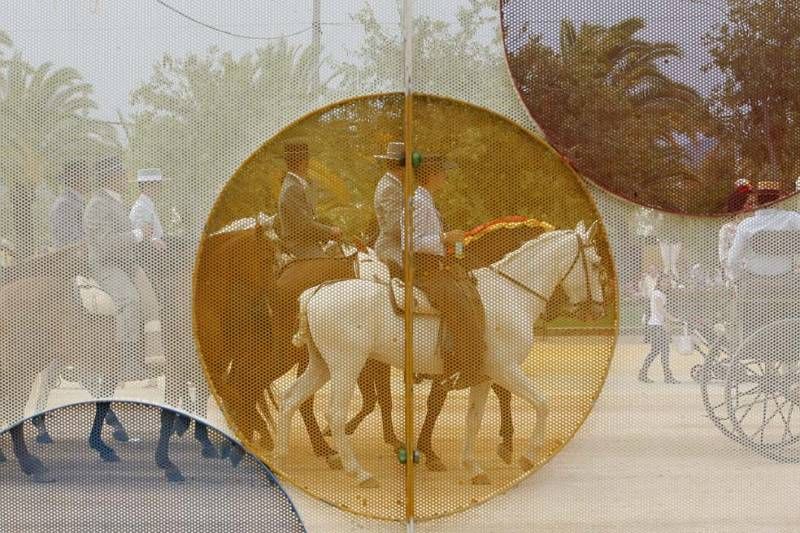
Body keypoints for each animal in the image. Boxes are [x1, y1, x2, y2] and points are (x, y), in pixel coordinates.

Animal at [276, 220, 608, 486]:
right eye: (594, 263)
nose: (598, 310)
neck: (509, 295)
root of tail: (316, 291)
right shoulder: (505, 369)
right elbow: (542, 403)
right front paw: (526, 455)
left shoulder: (484, 376)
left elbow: (473, 419)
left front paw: (473, 467)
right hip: (347, 365)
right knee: (333, 412)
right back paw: (358, 471)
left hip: (321, 365)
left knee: (291, 399)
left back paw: (283, 459)